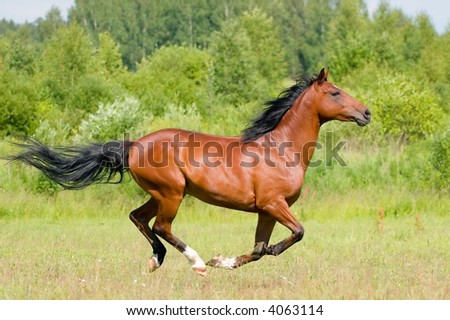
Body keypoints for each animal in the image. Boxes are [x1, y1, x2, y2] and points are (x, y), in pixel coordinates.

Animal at [8, 69, 370, 276]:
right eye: (335, 92)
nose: (366, 113)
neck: (281, 149)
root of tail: (134, 145)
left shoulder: (266, 211)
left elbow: (257, 250)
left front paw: (223, 262)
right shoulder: (273, 204)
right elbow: (296, 234)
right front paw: (217, 261)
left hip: (160, 194)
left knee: (138, 218)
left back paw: (157, 260)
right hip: (171, 193)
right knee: (161, 226)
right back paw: (194, 262)